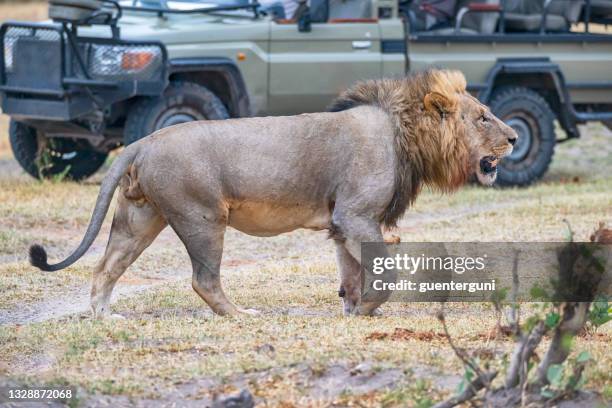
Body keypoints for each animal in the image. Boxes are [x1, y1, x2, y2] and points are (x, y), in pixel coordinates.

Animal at [28, 69, 516, 318]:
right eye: (483, 117)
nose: (513, 138)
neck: (405, 133)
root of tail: (143, 141)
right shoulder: (356, 215)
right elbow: (385, 273)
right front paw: (370, 306)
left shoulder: (341, 223)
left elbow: (351, 272)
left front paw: (354, 311)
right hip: (203, 218)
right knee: (203, 279)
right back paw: (242, 316)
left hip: (140, 219)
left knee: (105, 268)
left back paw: (102, 317)